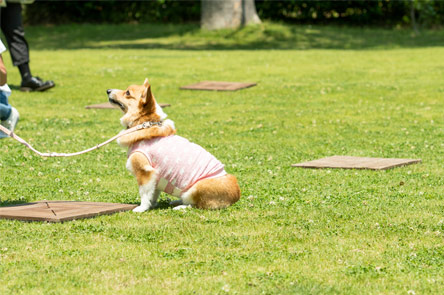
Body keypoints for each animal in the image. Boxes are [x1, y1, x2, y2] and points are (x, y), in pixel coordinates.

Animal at [106, 80, 239, 212]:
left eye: (127, 92)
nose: (107, 90)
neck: (144, 124)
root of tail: (236, 195)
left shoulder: (144, 172)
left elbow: (144, 194)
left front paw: (142, 208)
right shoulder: (155, 176)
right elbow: (153, 194)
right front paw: (152, 205)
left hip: (195, 188)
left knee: (196, 205)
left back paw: (180, 206)